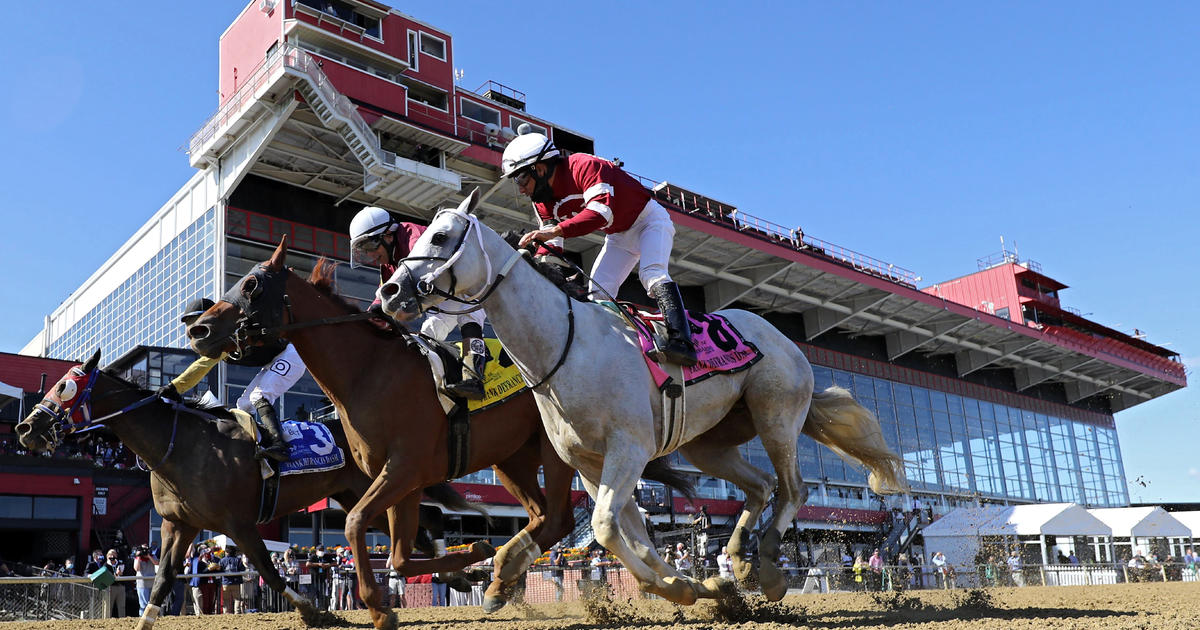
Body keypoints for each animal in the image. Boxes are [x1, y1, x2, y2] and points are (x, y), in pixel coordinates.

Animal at [12, 350, 477, 624]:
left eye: (65, 386)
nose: (26, 428)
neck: (180, 445)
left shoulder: (237, 523)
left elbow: (268, 571)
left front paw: (313, 611)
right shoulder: (177, 525)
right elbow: (162, 579)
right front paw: (145, 620)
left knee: (424, 520)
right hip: (355, 497)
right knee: (421, 524)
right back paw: (457, 573)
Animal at [187, 238, 662, 624]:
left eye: (252, 284)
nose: (198, 328)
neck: (368, 372)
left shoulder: (404, 469)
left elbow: (356, 524)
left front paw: (382, 607)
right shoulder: (405, 481)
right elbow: (398, 557)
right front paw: (470, 559)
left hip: (555, 447)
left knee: (561, 517)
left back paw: (504, 572)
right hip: (510, 458)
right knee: (543, 516)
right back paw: (499, 578)